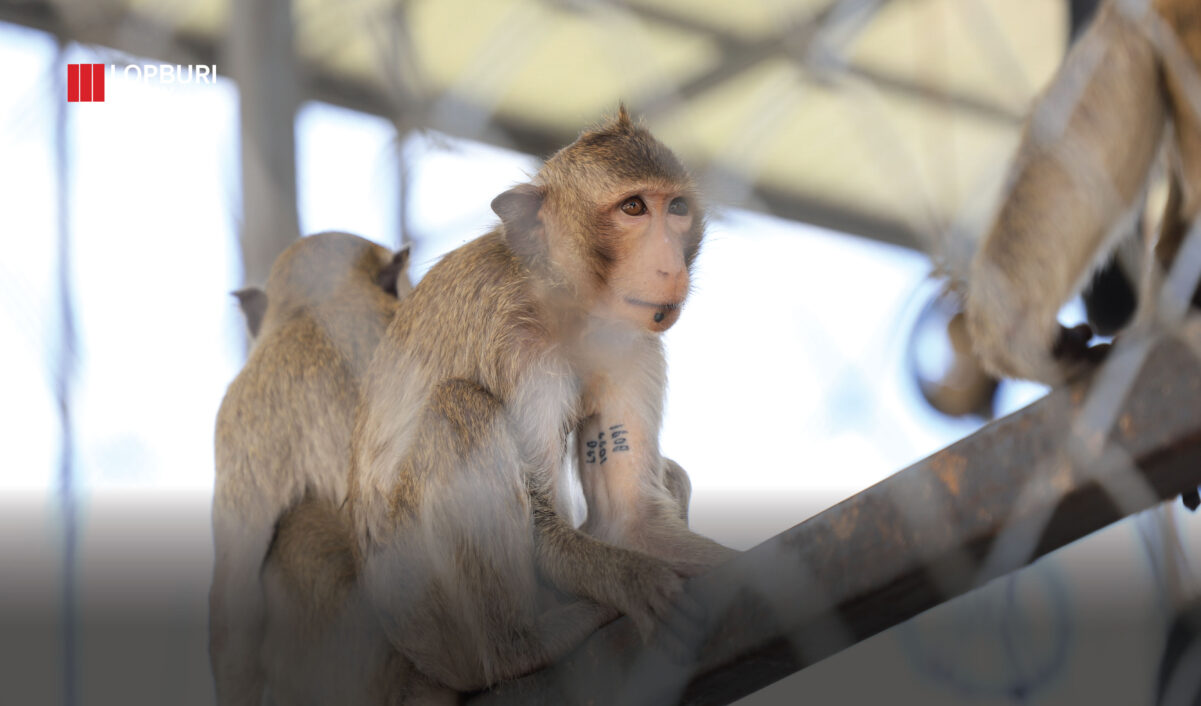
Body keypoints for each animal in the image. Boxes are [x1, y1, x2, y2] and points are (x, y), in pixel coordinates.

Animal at [350, 108, 730, 696]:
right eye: (633, 208)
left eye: (677, 209)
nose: (670, 266)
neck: (558, 297)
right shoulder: (518, 345)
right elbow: (543, 528)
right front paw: (634, 579)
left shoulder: (631, 345)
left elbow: (632, 519)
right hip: (423, 613)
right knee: (461, 408)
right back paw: (520, 649)